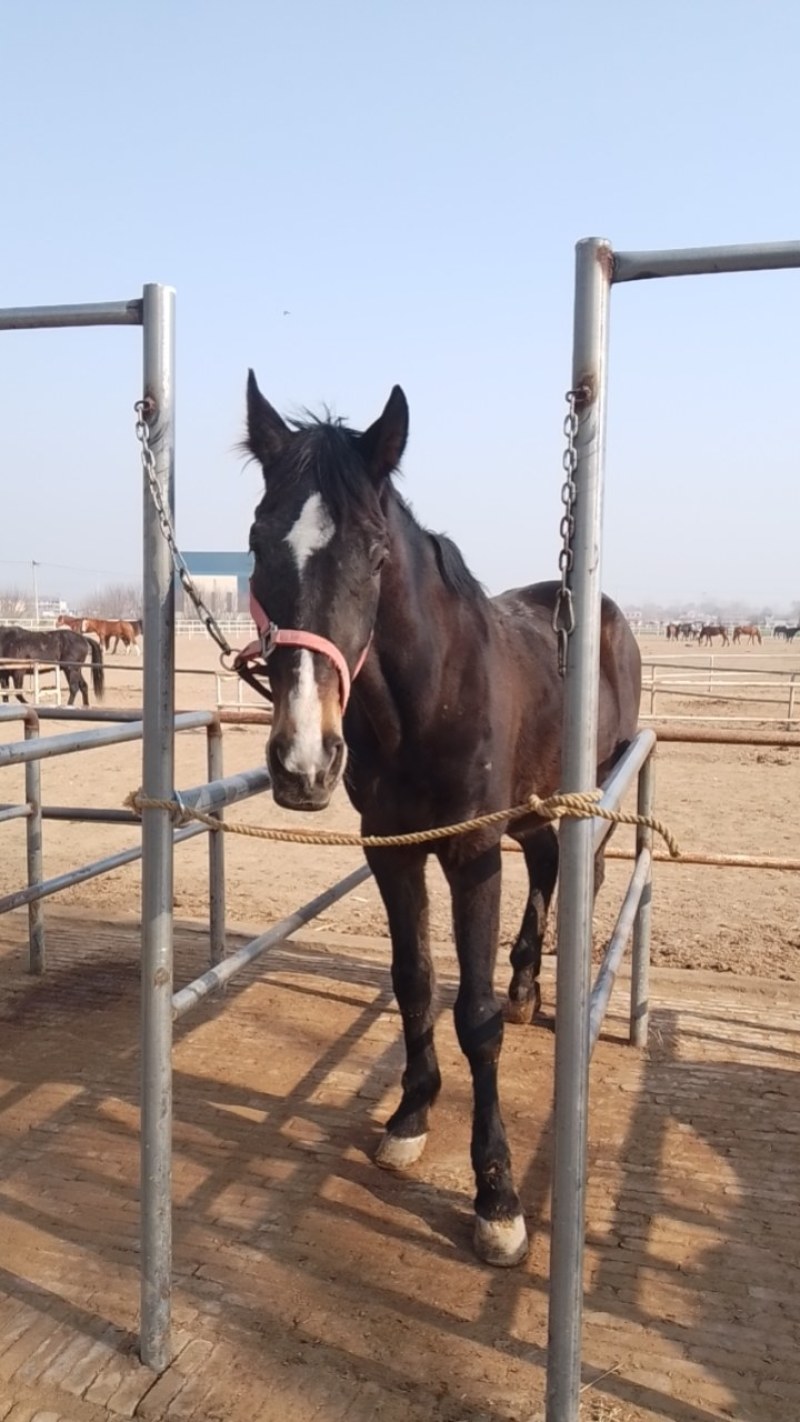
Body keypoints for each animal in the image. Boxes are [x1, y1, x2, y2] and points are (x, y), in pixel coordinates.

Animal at [237, 373, 642, 1268]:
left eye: (376, 554)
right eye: (257, 541)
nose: (303, 763)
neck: (428, 699)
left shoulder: (471, 852)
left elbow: (475, 1019)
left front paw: (497, 1197)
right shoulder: (393, 850)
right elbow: (415, 981)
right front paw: (411, 1115)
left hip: (586, 794)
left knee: (581, 872)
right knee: (546, 868)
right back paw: (527, 987)